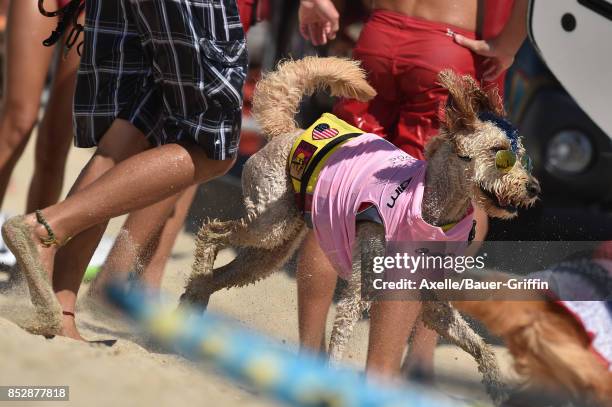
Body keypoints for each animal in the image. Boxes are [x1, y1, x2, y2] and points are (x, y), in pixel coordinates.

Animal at [179, 57, 608, 404]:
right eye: (499, 154)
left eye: (524, 159)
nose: (534, 188)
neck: (434, 212)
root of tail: (291, 131)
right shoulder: (362, 286)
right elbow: (341, 337)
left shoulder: (433, 302)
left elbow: (481, 346)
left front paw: (500, 389)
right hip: (270, 224)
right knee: (212, 231)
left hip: (274, 250)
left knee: (224, 271)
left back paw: (192, 304)